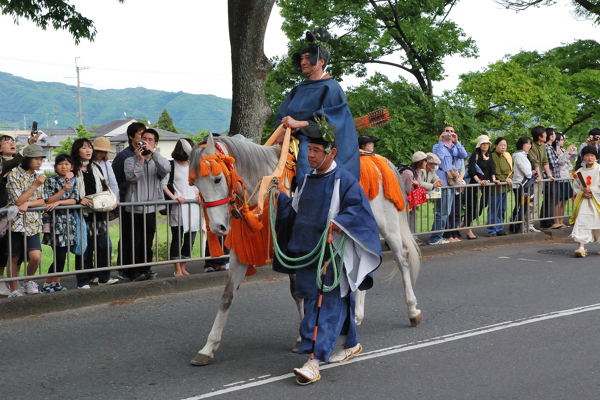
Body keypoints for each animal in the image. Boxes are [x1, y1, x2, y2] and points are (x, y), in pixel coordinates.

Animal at [190, 134, 420, 366]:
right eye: (197, 184)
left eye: (217, 179)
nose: (218, 227)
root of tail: (380, 160)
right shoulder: (241, 253)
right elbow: (227, 297)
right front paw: (208, 347)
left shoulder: (290, 248)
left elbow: (297, 291)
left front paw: (302, 337)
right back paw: (356, 316)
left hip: (387, 225)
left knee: (402, 259)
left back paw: (412, 310)